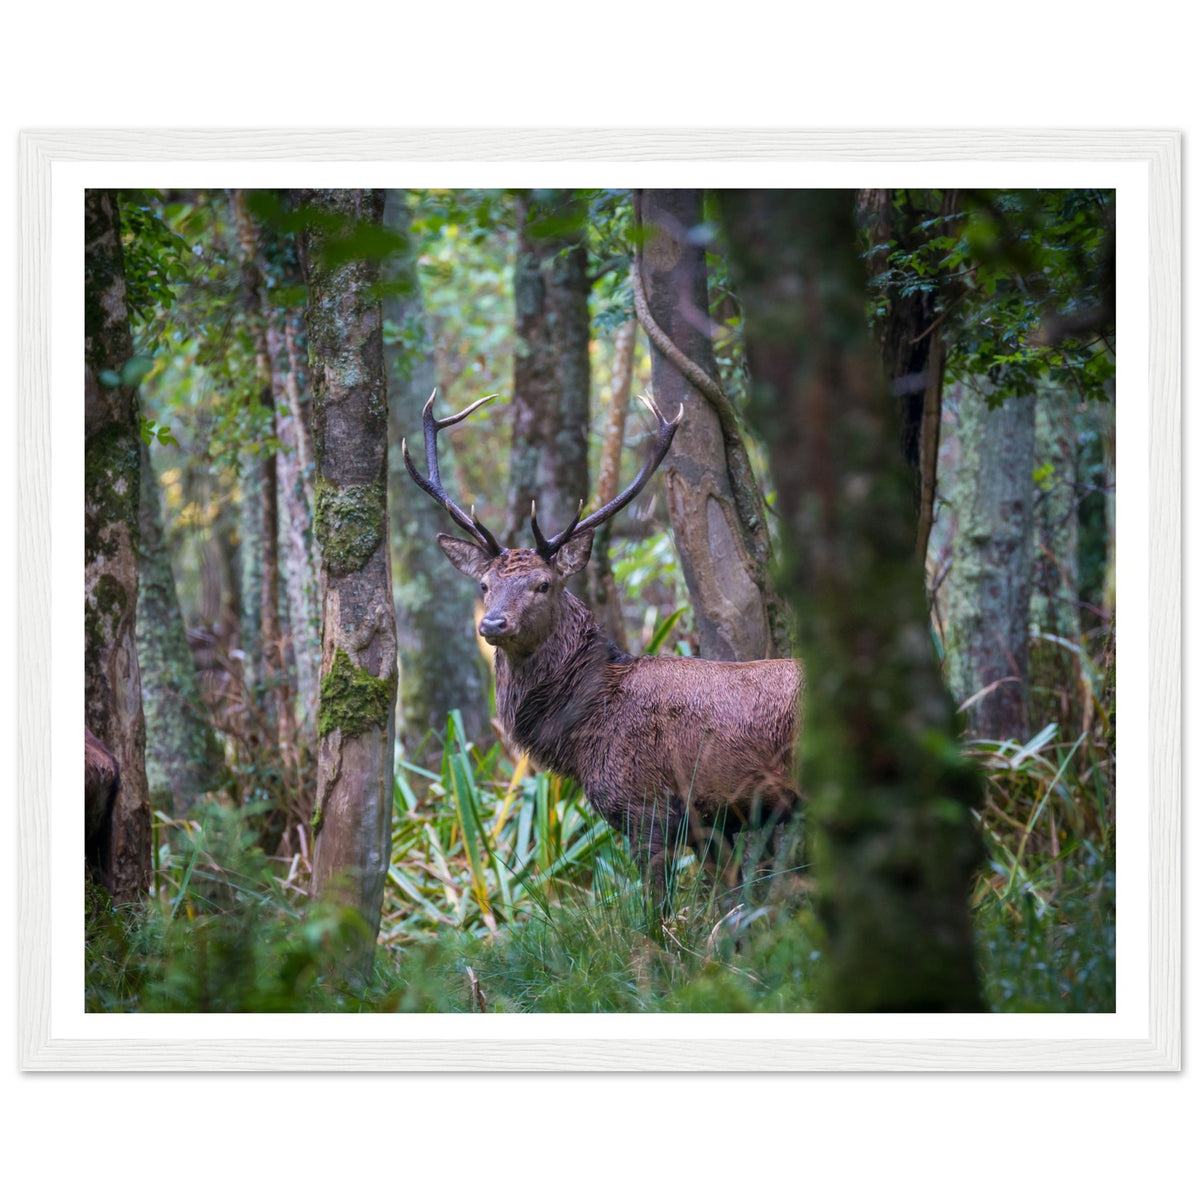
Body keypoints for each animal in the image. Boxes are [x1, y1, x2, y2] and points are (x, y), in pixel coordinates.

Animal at [403, 391, 803, 906]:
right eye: (484, 585)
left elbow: (657, 912)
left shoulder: (647, 807)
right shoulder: (709, 824)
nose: (492, 622)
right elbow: (734, 902)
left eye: (543, 585)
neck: (582, 731)